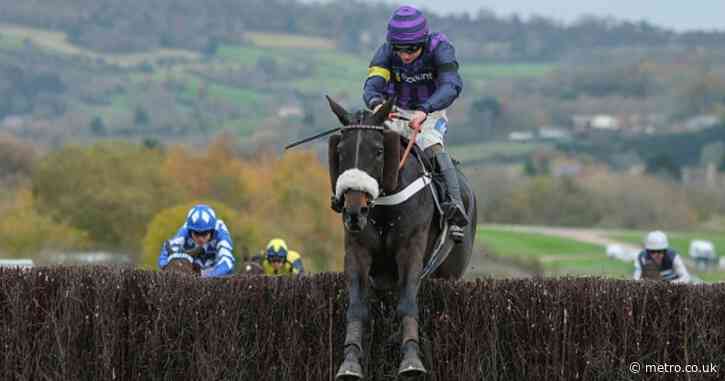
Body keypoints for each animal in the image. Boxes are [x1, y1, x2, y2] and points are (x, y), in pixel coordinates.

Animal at [326, 96, 476, 378]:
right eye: (340, 151)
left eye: (378, 150)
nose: (354, 211)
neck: (385, 203)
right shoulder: (357, 249)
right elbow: (357, 306)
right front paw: (349, 361)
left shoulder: (410, 248)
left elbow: (407, 303)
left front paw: (411, 359)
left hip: (451, 271)